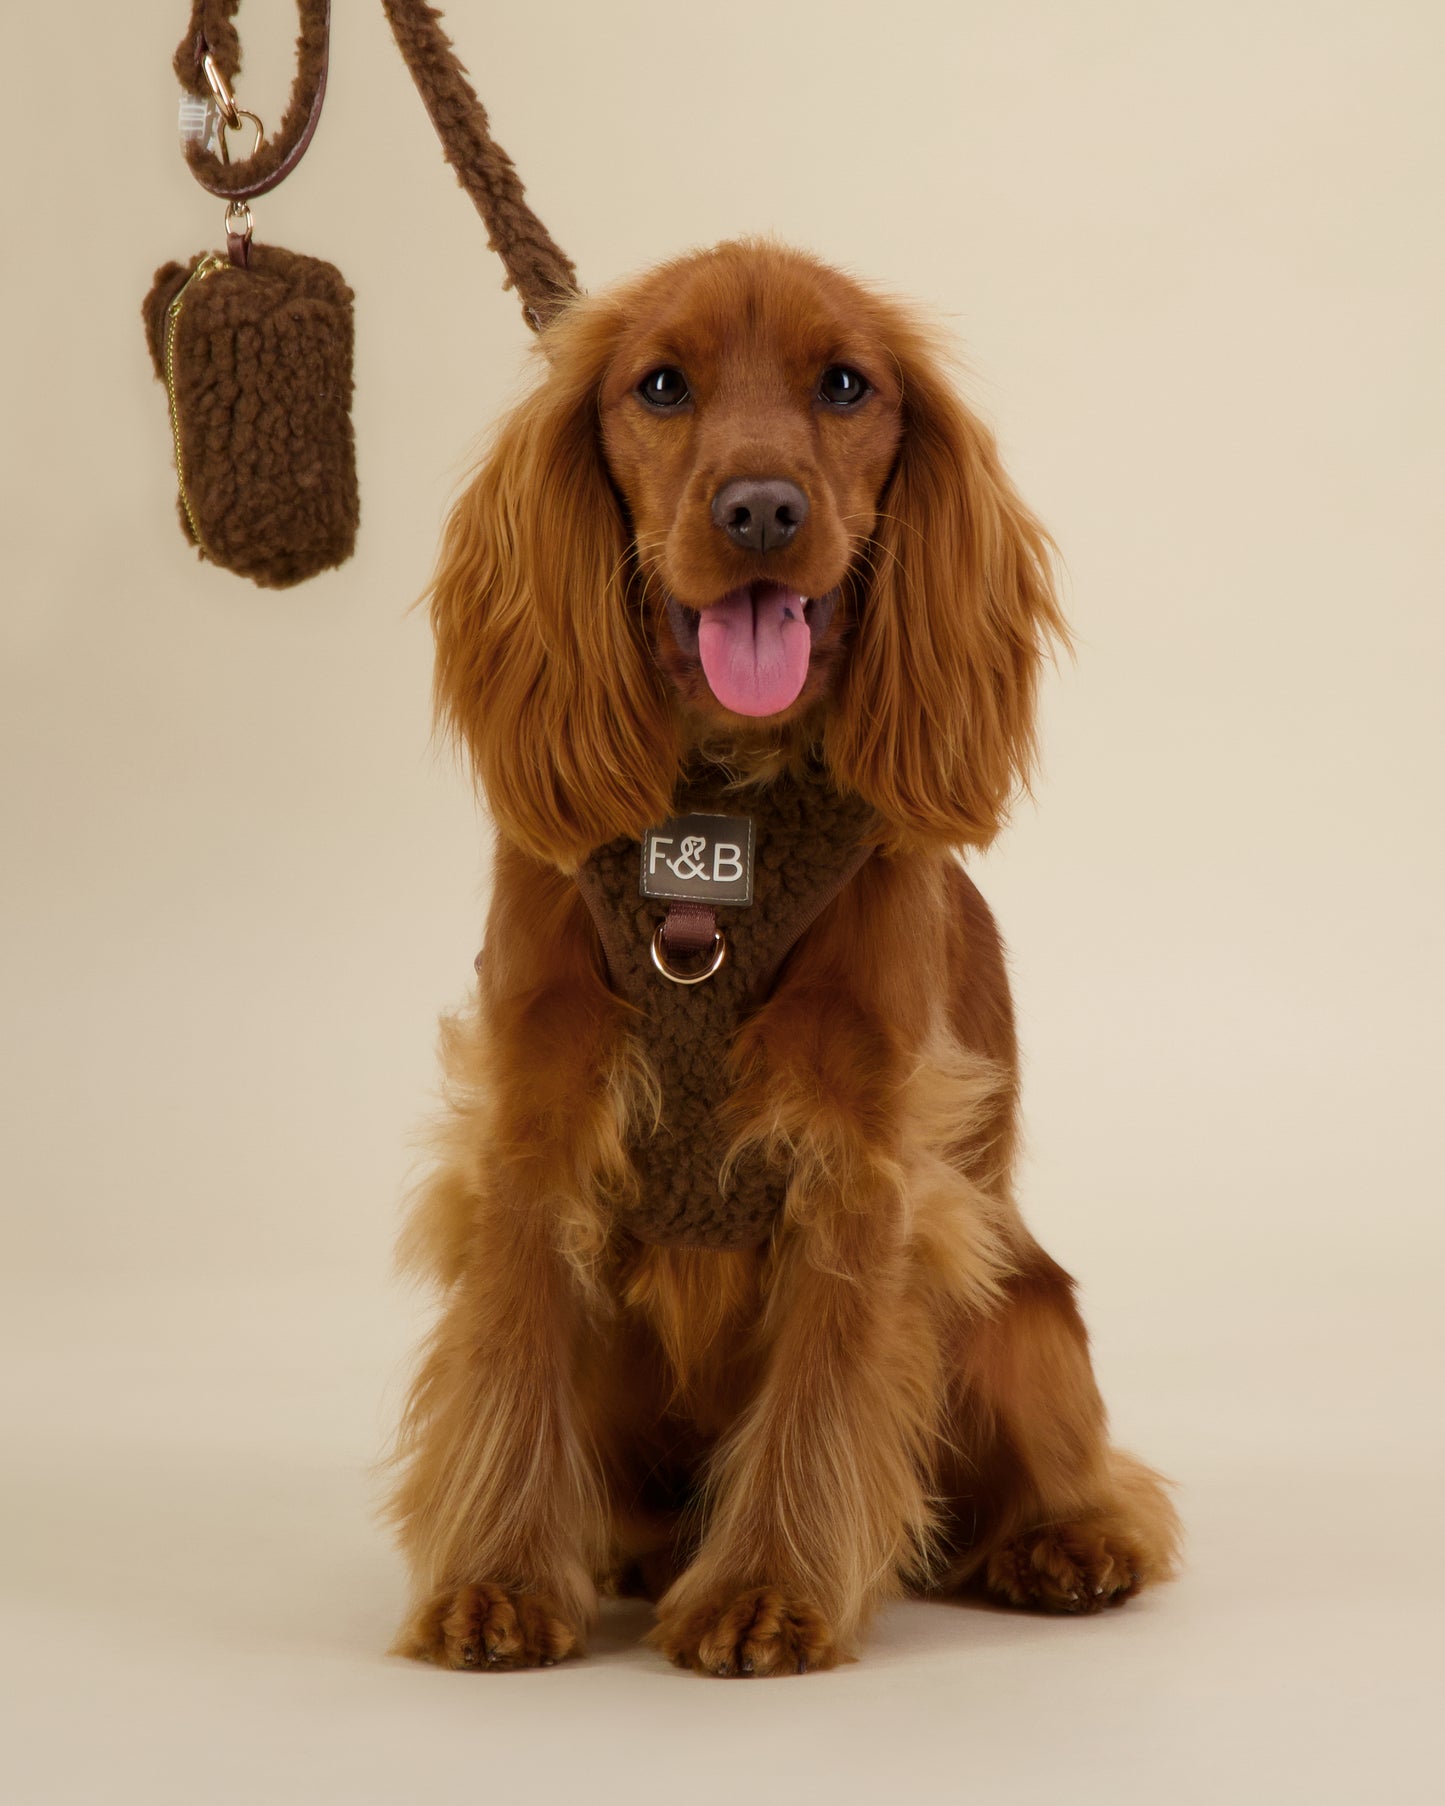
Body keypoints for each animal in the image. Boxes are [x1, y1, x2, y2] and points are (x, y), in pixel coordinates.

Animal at [390, 240, 1177, 1675]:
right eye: (659, 384)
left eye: (844, 384)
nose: (759, 509)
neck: (725, 810)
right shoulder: (535, 1108)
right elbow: (509, 1350)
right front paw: (496, 1580)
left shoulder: (860, 1143)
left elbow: (824, 1382)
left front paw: (763, 1591)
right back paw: (641, 1548)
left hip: (1018, 1313)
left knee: (1094, 1477)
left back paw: (1064, 1540)